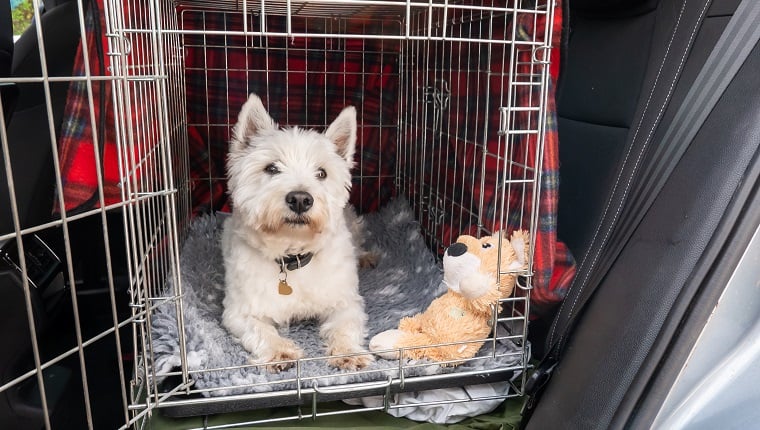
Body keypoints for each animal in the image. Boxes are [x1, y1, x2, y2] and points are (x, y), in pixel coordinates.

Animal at [220, 94, 374, 372]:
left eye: (322, 173)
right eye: (271, 168)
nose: (301, 199)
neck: (292, 255)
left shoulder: (345, 301)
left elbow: (344, 326)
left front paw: (349, 353)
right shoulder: (239, 310)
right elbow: (261, 330)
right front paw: (279, 352)